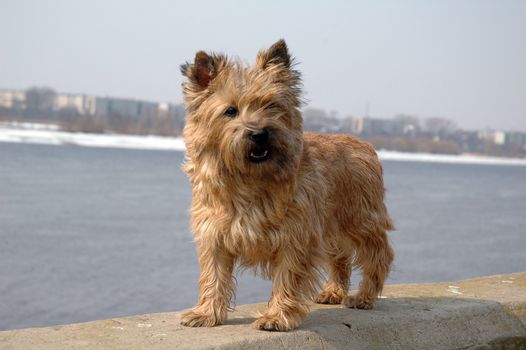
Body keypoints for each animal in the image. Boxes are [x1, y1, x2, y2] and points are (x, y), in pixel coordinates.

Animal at [179, 39, 394, 332]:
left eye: (271, 106)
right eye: (230, 111)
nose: (259, 133)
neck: (249, 179)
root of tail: (364, 144)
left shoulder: (296, 236)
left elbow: (287, 277)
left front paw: (276, 316)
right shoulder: (214, 235)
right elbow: (213, 275)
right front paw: (205, 313)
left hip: (360, 219)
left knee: (378, 254)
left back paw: (364, 296)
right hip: (332, 225)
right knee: (340, 256)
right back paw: (334, 291)